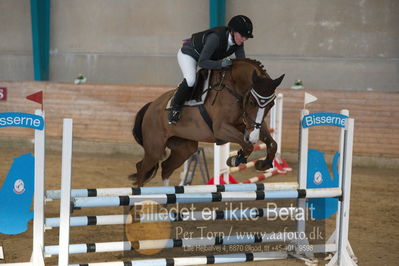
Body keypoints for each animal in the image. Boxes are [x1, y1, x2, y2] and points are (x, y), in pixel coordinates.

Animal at [130, 58, 284, 187]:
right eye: (252, 102)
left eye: (271, 105)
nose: (252, 137)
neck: (234, 89)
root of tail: (150, 106)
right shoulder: (221, 129)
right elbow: (247, 145)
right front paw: (235, 160)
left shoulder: (250, 125)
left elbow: (272, 144)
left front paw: (262, 165)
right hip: (155, 148)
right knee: (141, 169)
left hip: (184, 148)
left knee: (166, 168)